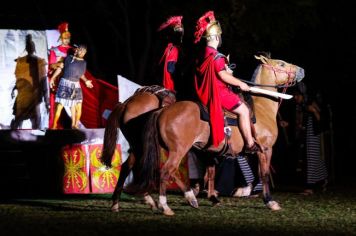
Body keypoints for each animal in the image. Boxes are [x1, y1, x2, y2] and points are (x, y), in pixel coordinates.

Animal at [132, 54, 304, 215]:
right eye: (281, 64)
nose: (301, 70)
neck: (262, 108)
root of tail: (163, 110)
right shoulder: (265, 149)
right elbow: (264, 174)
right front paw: (269, 201)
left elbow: (223, 174)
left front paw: (232, 193)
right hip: (178, 150)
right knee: (166, 171)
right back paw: (166, 205)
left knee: (165, 171)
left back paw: (187, 198)